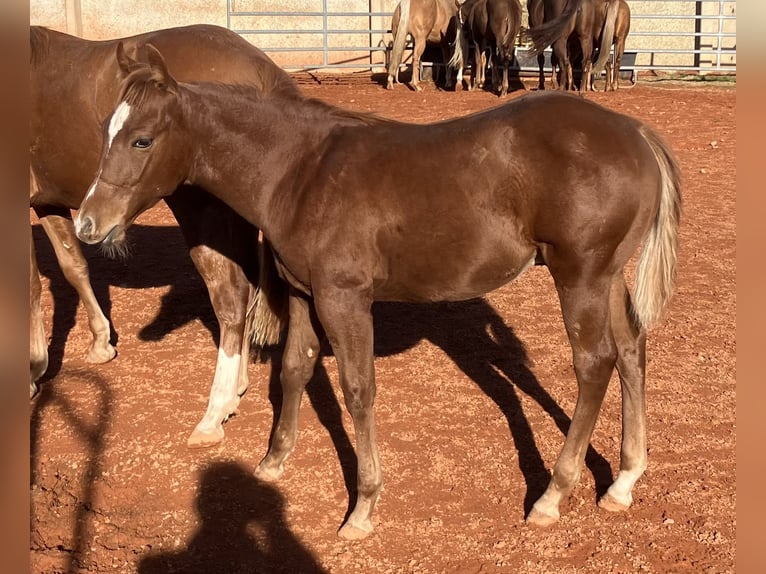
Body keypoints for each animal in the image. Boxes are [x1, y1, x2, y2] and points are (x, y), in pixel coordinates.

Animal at [29, 24, 297, 447]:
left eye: (141, 140)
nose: (92, 219)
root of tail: (260, 68)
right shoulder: (48, 203)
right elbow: (73, 267)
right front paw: (101, 343)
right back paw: (235, 390)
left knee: (230, 295)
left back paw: (214, 413)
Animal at [75, 45, 681, 540]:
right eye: (104, 132)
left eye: (142, 139)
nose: (87, 223)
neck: (299, 172)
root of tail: (636, 132)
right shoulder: (303, 294)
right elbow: (294, 368)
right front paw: (273, 462)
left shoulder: (344, 299)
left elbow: (358, 390)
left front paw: (362, 508)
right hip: (607, 278)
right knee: (632, 351)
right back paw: (623, 482)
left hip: (580, 276)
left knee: (595, 364)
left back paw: (553, 495)